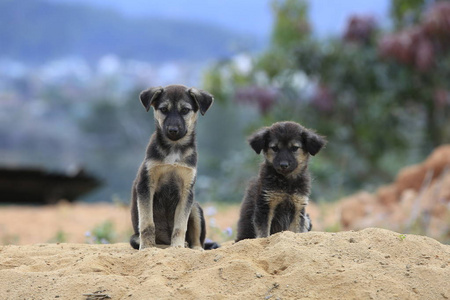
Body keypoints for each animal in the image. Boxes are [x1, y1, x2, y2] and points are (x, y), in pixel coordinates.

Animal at [129, 83, 214, 250]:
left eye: (185, 110)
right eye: (163, 109)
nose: (173, 130)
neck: (174, 148)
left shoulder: (187, 190)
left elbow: (180, 225)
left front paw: (177, 247)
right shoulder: (146, 185)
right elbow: (147, 223)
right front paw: (147, 247)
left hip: (195, 207)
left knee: (196, 239)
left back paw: (193, 248)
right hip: (134, 238)